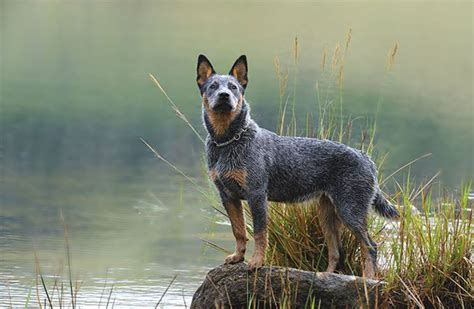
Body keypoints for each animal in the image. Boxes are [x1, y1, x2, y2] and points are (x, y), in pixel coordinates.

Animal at [196, 54, 400, 278]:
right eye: (213, 86)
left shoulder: (256, 194)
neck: (228, 142)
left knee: (370, 246)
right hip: (327, 214)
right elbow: (238, 231)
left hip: (350, 210)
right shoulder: (228, 196)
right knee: (336, 251)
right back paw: (324, 276)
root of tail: (367, 159)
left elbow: (259, 233)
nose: (224, 95)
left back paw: (368, 279)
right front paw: (238, 257)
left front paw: (256, 261)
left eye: (233, 87)